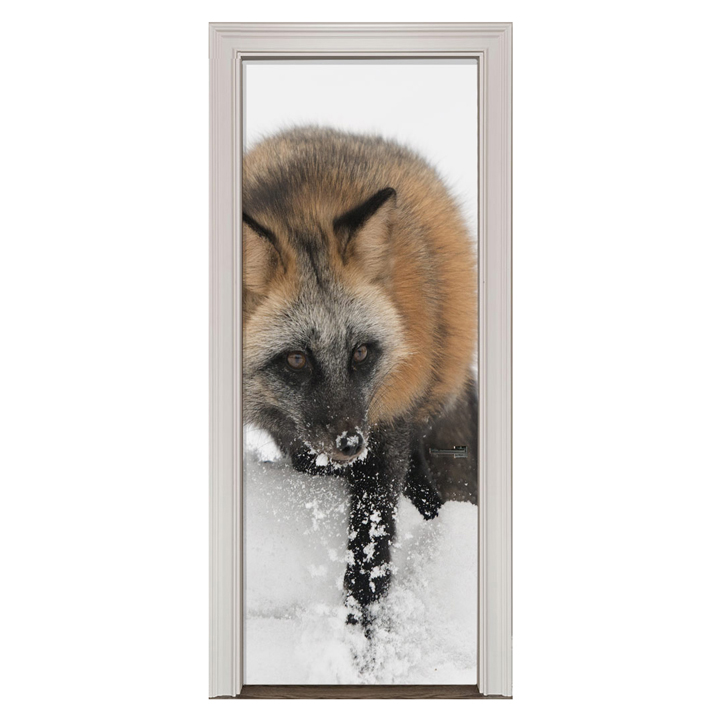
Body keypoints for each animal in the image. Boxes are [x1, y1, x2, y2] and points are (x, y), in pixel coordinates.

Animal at [242, 126, 478, 629]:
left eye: (361, 353)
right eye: (296, 360)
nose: (350, 443)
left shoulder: (386, 425)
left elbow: (371, 548)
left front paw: (363, 631)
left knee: (426, 489)